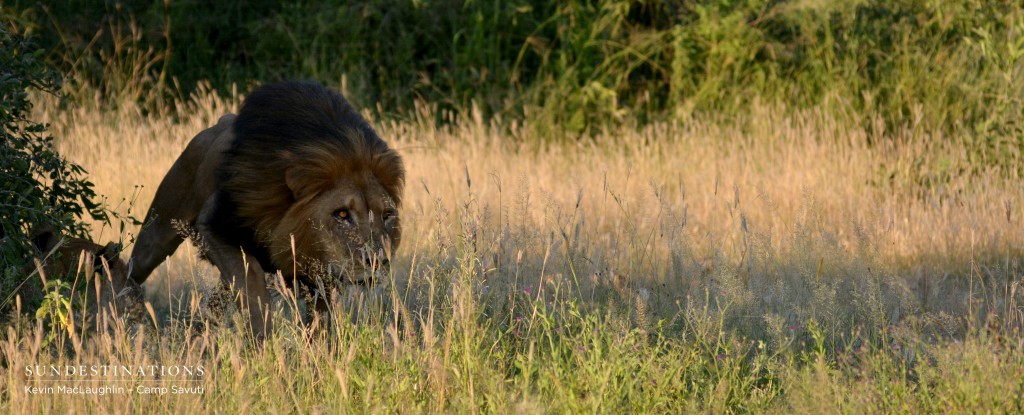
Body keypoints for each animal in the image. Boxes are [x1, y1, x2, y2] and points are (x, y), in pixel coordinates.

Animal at [124, 79, 403, 338]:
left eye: (387, 216)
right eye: (342, 214)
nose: (377, 261)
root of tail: (218, 124)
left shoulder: (323, 271)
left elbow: (321, 317)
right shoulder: (214, 226)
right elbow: (252, 283)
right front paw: (264, 339)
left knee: (214, 304)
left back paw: (198, 336)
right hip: (158, 233)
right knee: (133, 270)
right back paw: (125, 313)